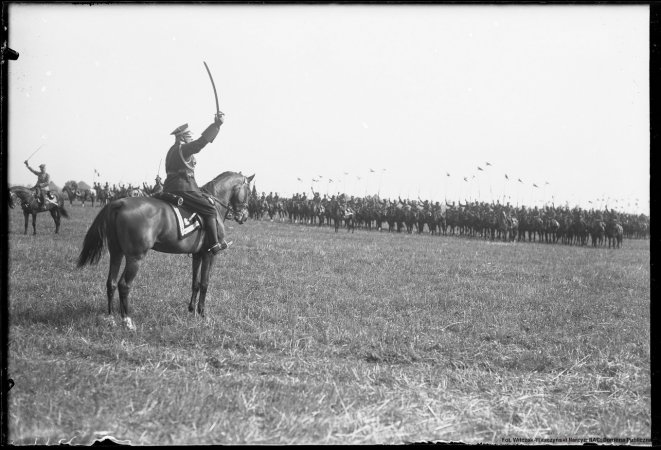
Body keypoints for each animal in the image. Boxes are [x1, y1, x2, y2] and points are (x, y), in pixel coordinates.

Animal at [76, 172, 254, 330]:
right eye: (249, 191)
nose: (244, 216)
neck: (215, 205)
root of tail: (119, 203)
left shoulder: (197, 255)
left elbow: (195, 283)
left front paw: (192, 310)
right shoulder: (209, 254)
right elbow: (204, 283)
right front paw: (203, 313)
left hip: (116, 253)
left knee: (111, 283)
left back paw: (111, 318)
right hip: (135, 258)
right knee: (124, 285)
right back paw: (127, 321)